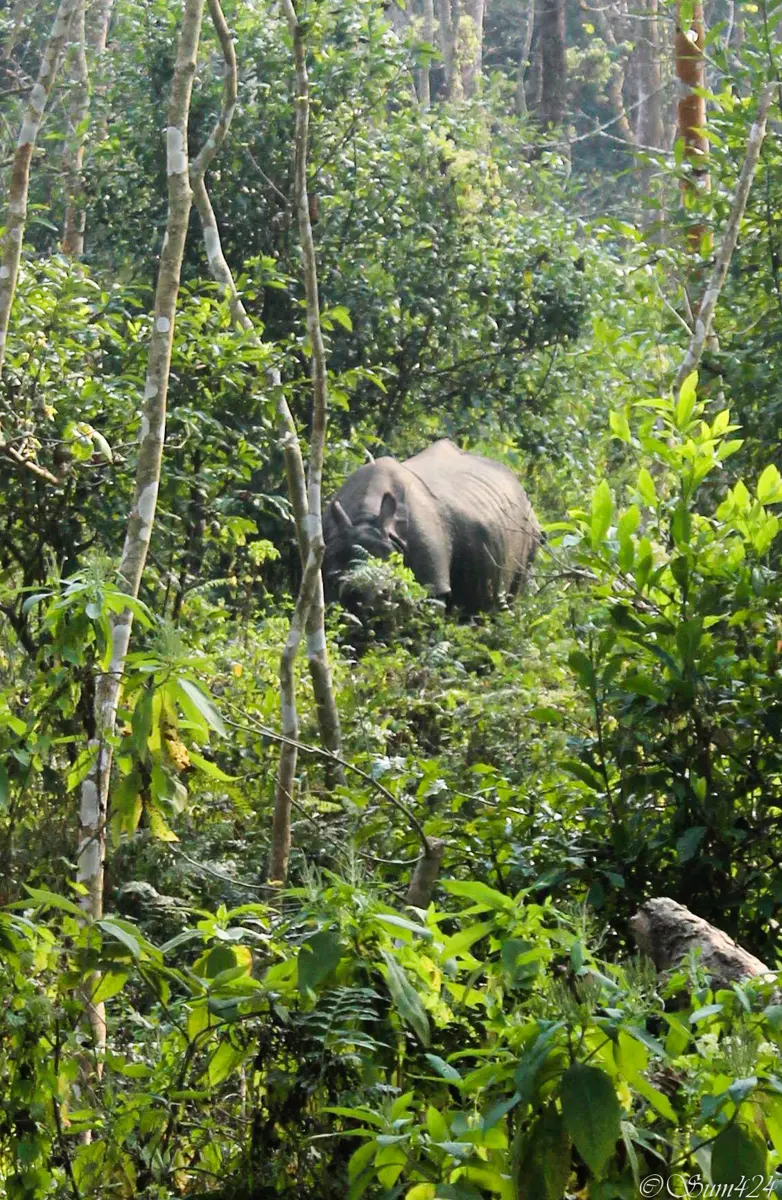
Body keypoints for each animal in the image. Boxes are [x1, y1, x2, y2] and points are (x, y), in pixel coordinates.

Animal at [322, 439, 542, 612]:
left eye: (387, 590)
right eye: (333, 580)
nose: (361, 606)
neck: (366, 518)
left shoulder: (434, 583)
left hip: (530, 525)